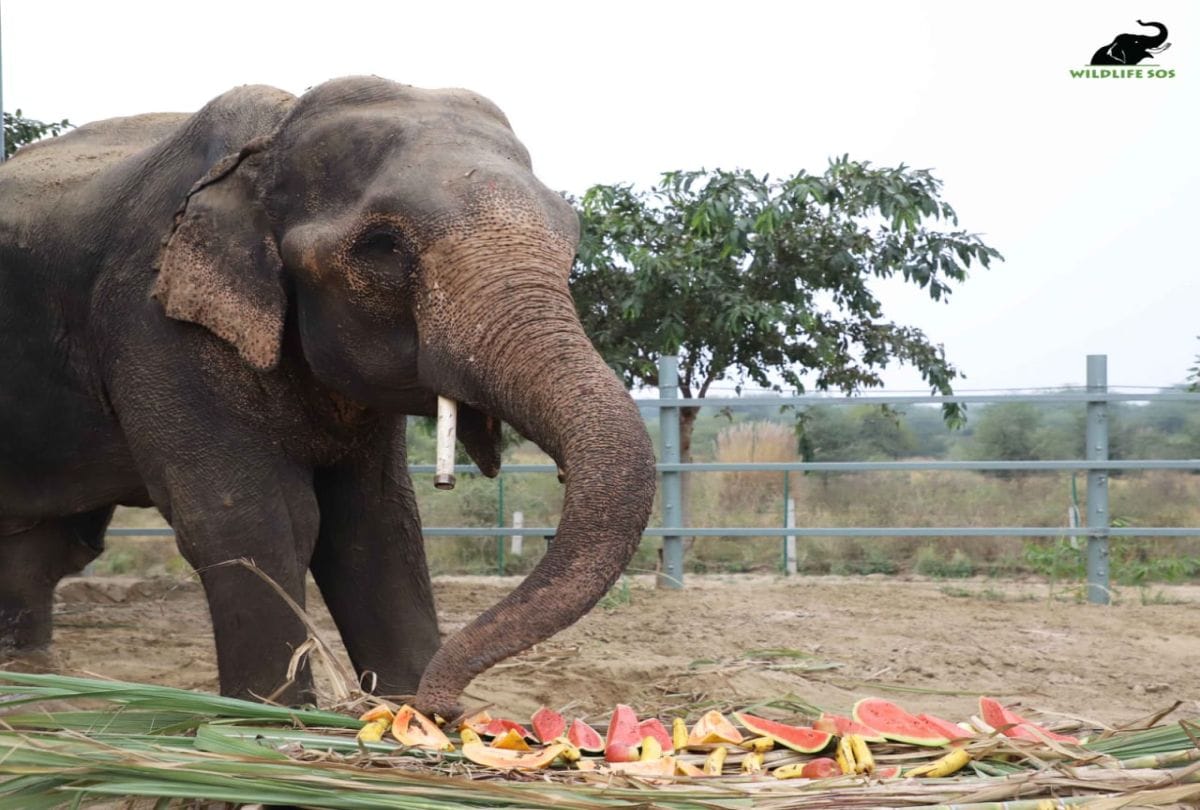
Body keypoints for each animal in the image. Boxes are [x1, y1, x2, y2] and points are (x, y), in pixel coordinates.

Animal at [0, 77, 656, 718]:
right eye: (383, 246)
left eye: (572, 238)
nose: (449, 705)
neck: (269, 140)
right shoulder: (153, 319)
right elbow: (250, 519)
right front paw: (266, 723)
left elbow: (377, 519)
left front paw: (407, 714)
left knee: (51, 543)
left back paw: (31, 674)